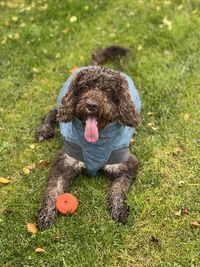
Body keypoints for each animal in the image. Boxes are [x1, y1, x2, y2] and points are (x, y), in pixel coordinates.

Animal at [36, 46, 142, 230]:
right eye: (85, 87)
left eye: (107, 90)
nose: (92, 105)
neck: (96, 144)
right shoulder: (64, 163)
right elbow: (53, 189)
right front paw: (46, 213)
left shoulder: (127, 165)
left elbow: (118, 189)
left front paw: (119, 209)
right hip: (61, 102)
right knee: (53, 112)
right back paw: (44, 129)